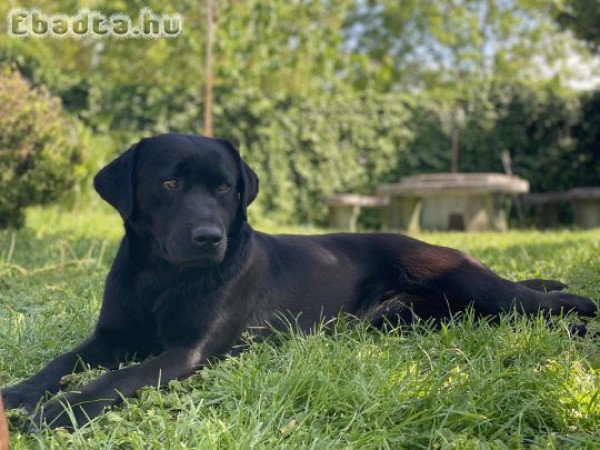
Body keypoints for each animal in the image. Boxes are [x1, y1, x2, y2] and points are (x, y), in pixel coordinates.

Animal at [2, 133, 596, 428]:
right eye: (169, 183)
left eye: (224, 187)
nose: (209, 237)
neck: (160, 278)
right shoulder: (109, 337)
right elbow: (60, 363)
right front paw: (19, 393)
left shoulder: (187, 351)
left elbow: (115, 381)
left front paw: (55, 412)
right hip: (406, 320)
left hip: (472, 285)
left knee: (540, 301)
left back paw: (577, 318)